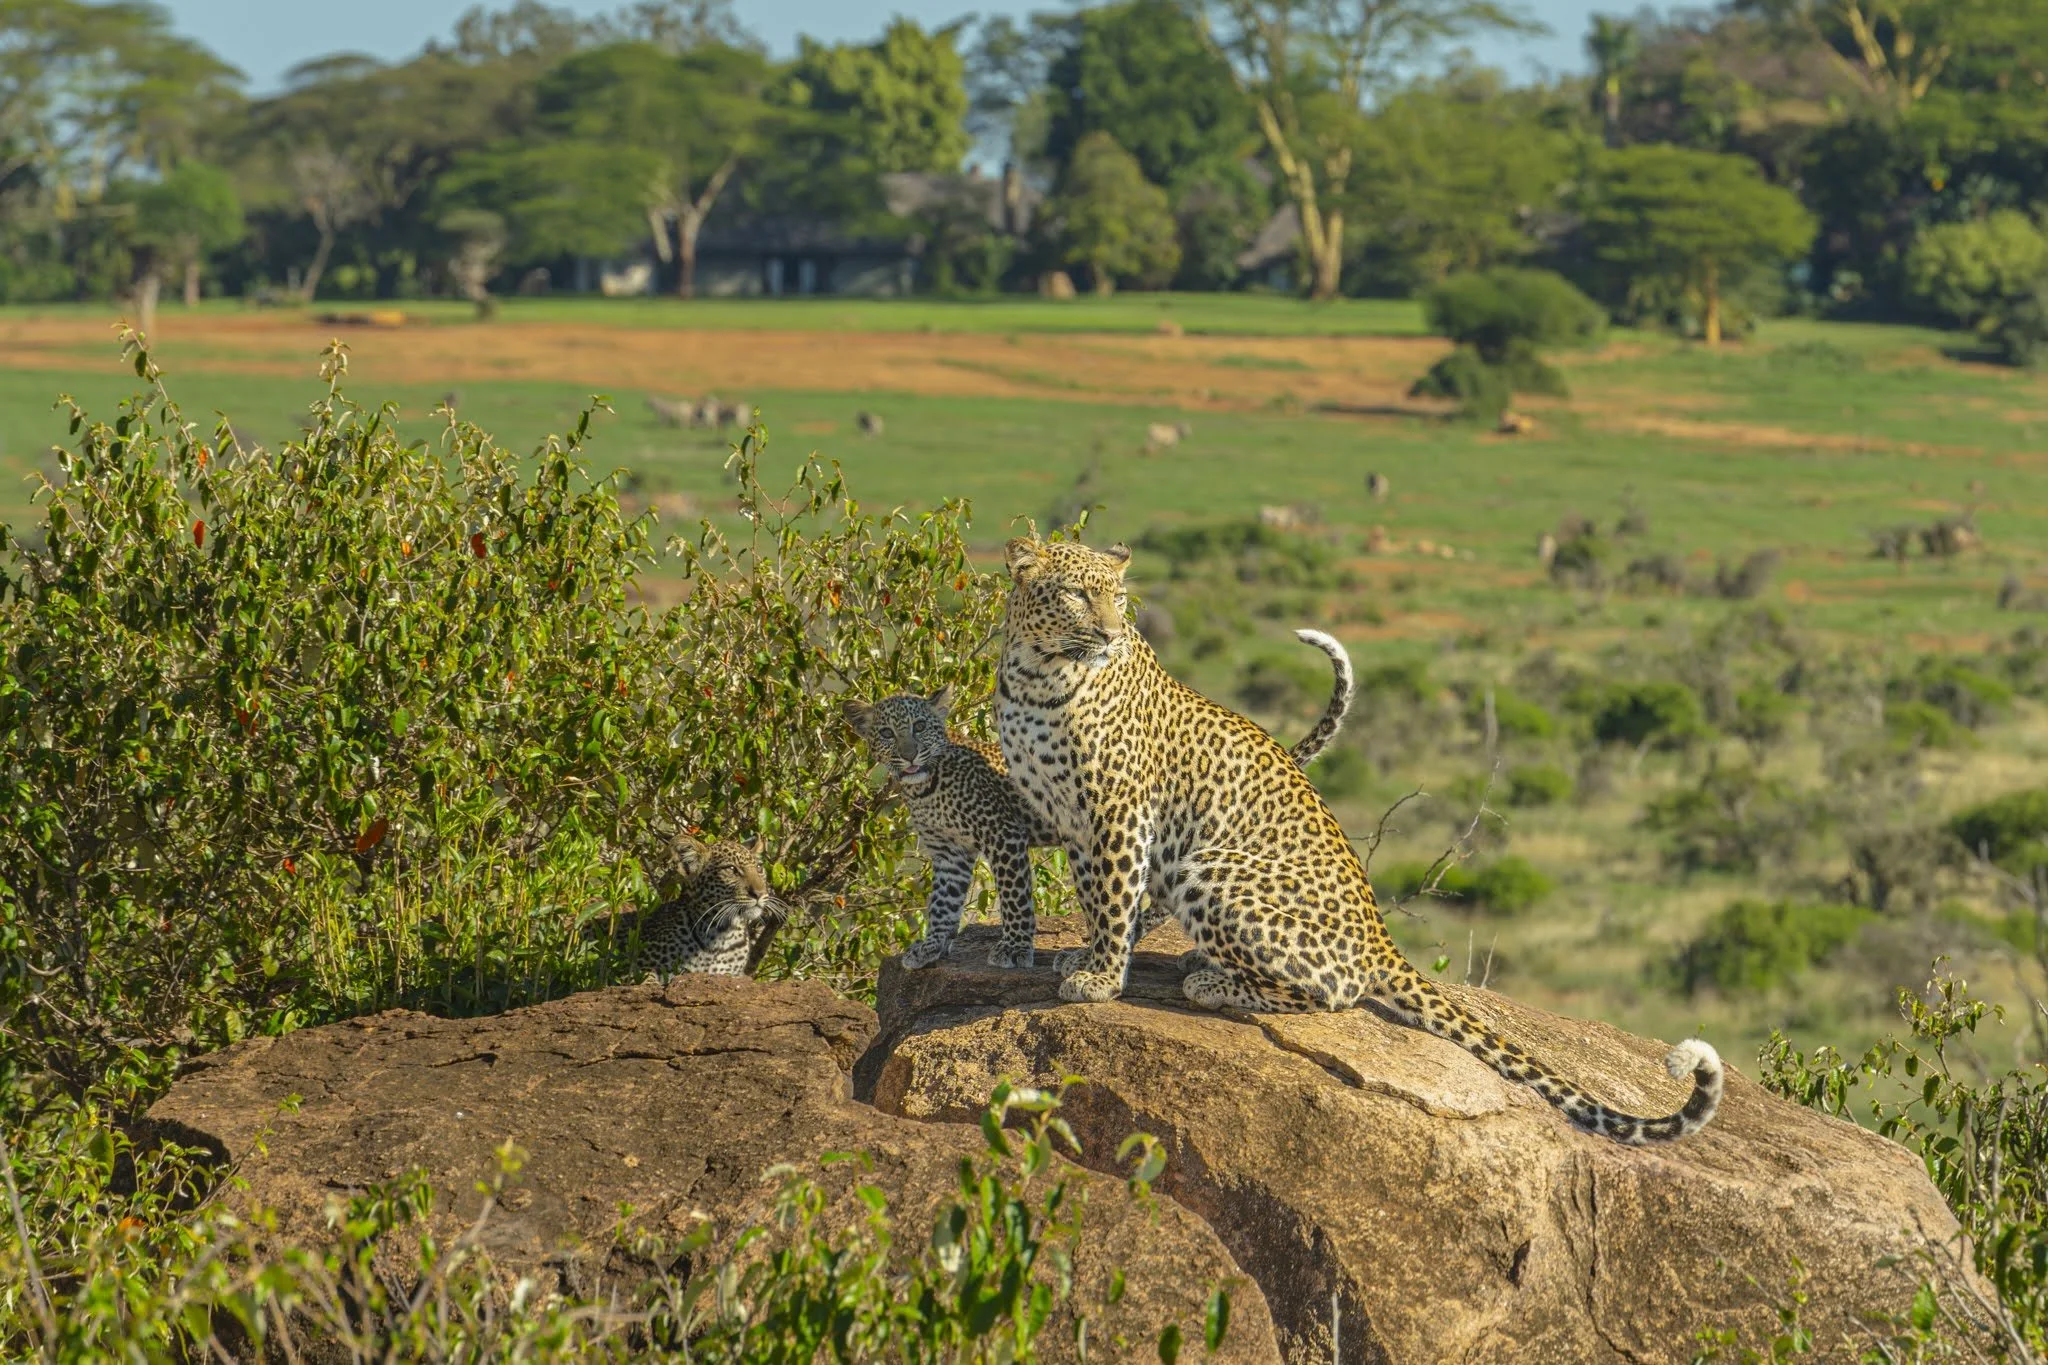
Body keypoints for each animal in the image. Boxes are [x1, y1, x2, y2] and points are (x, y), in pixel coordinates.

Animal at [628, 834, 780, 980]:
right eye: (731, 869)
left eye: (759, 868)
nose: (760, 893)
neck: (721, 934)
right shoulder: (640, 967)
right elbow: (647, 979)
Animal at [845, 631, 1356, 973]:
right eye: (887, 733)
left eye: (922, 728)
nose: (909, 755)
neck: (926, 788)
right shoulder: (948, 854)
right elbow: (942, 906)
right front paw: (931, 947)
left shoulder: (1003, 834)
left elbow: (1015, 898)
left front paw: (1014, 949)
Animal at [994, 535, 1722, 1145]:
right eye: (1075, 593)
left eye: (1116, 597)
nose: (1109, 632)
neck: (1035, 675)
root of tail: (1378, 934)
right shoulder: (1074, 818)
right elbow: (1096, 897)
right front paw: (1083, 957)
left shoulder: (1118, 809)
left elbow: (1116, 900)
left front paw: (1099, 978)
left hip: (1211, 865)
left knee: (1335, 990)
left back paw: (1212, 982)